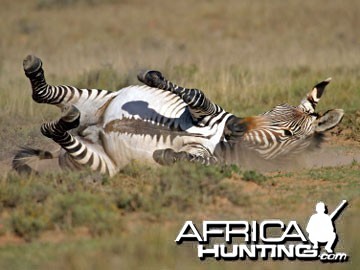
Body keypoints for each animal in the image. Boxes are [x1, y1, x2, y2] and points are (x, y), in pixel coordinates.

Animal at [12, 56, 344, 176]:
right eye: (272, 109)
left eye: (288, 134)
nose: (235, 125)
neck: (220, 140)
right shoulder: (206, 113)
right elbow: (196, 94)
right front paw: (153, 77)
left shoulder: (212, 157)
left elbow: (198, 161)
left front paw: (167, 155)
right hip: (98, 99)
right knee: (42, 95)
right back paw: (33, 69)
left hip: (98, 162)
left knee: (56, 129)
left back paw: (65, 122)